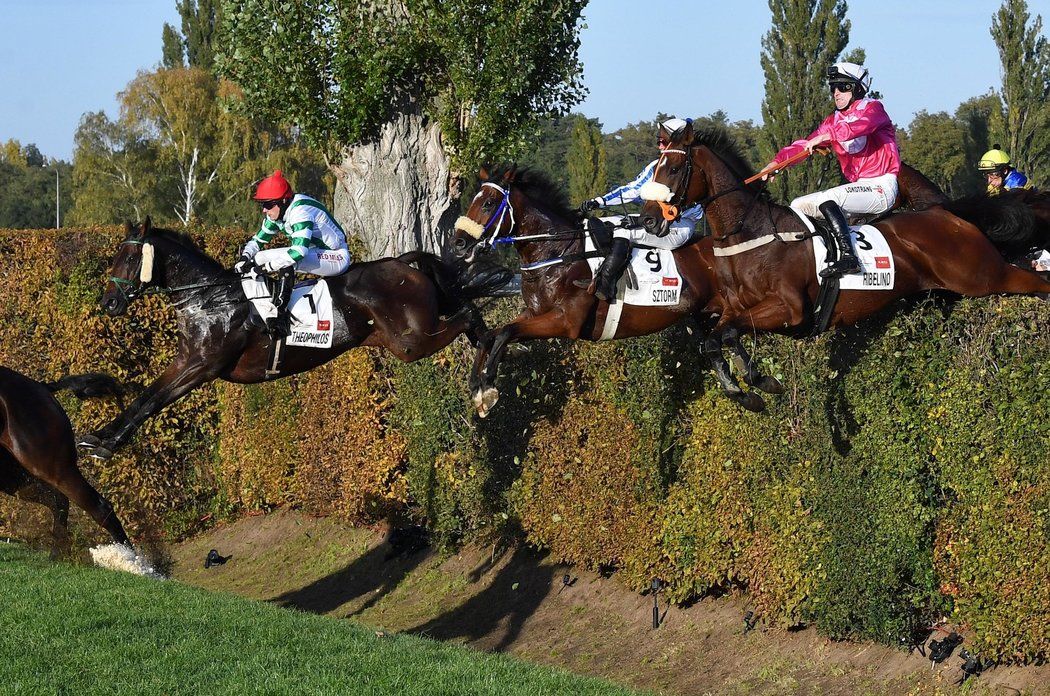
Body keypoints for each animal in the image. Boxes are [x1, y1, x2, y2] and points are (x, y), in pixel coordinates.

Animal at [1, 367, 131, 558]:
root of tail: (42, 387)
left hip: (50, 465)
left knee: (99, 507)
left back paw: (133, 561)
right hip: (12, 475)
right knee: (58, 501)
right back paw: (58, 554)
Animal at [78, 216, 508, 457]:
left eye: (128, 258)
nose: (109, 302)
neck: (209, 298)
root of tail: (403, 263)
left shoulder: (202, 366)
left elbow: (153, 401)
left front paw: (104, 445)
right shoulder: (186, 361)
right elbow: (146, 397)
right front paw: (99, 439)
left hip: (409, 342)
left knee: (469, 315)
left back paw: (483, 384)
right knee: (469, 319)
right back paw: (486, 375)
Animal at [634, 122, 1050, 401]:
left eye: (672, 169)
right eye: (655, 167)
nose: (649, 220)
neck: (750, 233)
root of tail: (947, 214)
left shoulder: (791, 310)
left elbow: (730, 334)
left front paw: (759, 381)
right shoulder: (732, 307)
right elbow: (716, 339)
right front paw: (746, 389)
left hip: (984, 275)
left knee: (1035, 282)